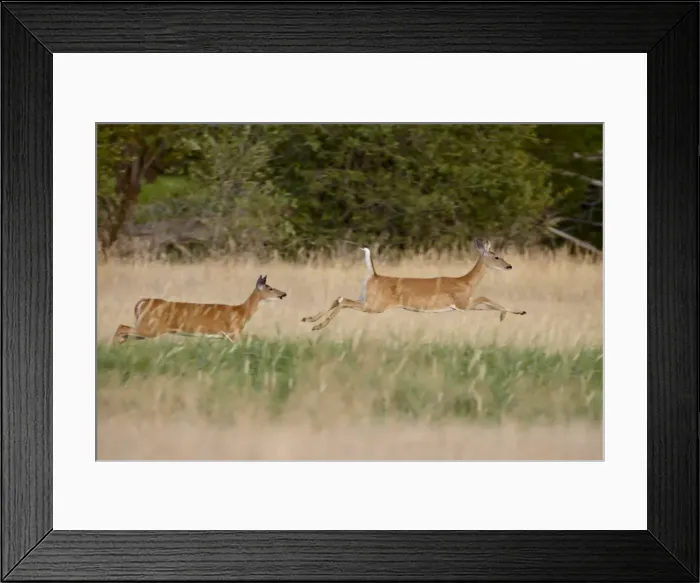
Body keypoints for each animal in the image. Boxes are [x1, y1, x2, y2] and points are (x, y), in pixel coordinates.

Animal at [113, 274, 287, 344]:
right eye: (270, 288)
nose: (283, 294)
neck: (241, 312)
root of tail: (143, 302)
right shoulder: (233, 331)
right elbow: (254, 337)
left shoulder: (229, 336)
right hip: (152, 327)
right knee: (121, 327)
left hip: (145, 327)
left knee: (125, 330)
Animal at [301, 238, 526, 332]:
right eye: (497, 256)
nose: (509, 266)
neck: (466, 281)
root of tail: (373, 275)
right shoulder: (462, 303)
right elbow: (485, 298)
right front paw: (511, 313)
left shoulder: (464, 305)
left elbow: (486, 302)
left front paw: (514, 313)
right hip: (376, 305)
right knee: (343, 301)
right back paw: (318, 326)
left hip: (366, 298)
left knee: (340, 297)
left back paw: (309, 320)